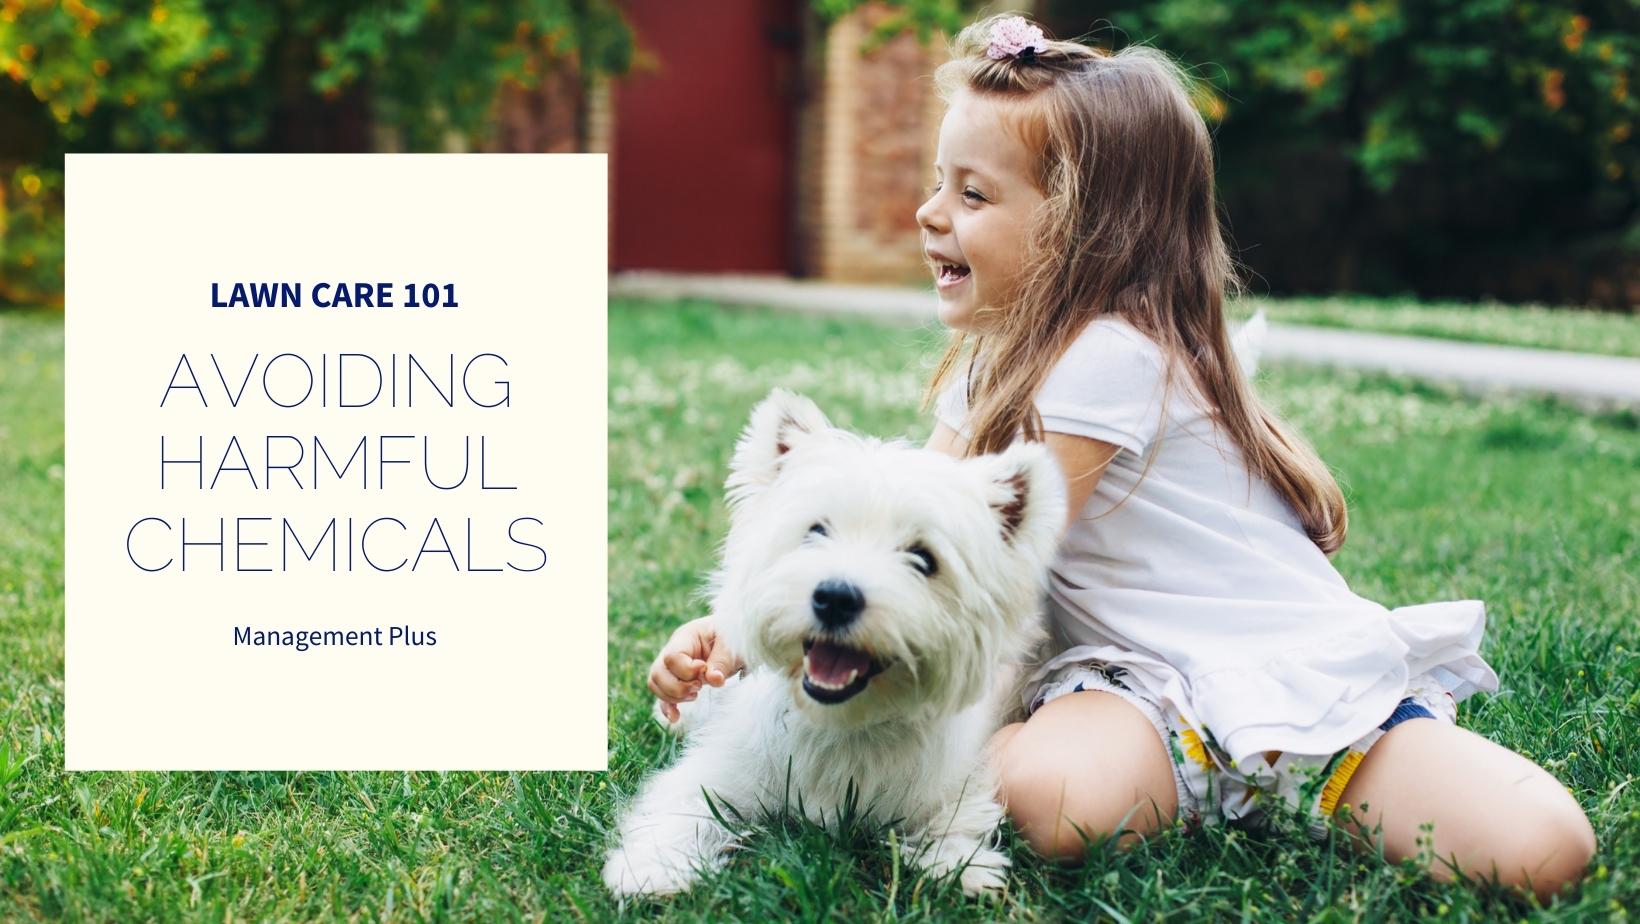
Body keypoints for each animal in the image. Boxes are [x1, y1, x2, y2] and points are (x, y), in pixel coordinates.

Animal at [603, 388, 1062, 899]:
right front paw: (652, 868)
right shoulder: (720, 772)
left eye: (924, 559)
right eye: (815, 531)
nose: (836, 597)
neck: (843, 724)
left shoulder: (952, 782)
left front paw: (960, 866)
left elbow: (955, 820)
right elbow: (682, 808)